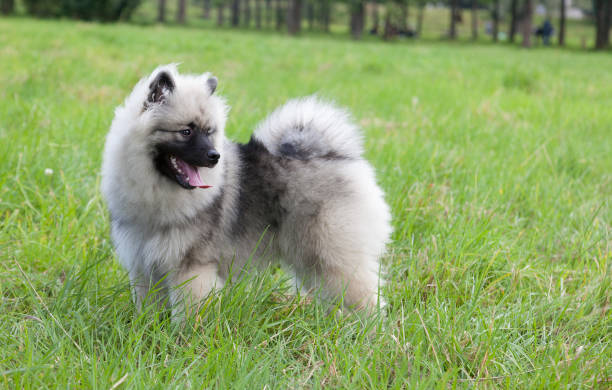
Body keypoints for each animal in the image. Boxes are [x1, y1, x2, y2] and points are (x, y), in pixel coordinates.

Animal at [101, 64, 392, 316]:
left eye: (210, 132)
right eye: (186, 131)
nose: (214, 156)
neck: (158, 191)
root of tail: (337, 156)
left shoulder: (192, 268)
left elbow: (190, 314)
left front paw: (185, 340)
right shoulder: (145, 267)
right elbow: (149, 307)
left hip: (332, 254)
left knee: (365, 298)